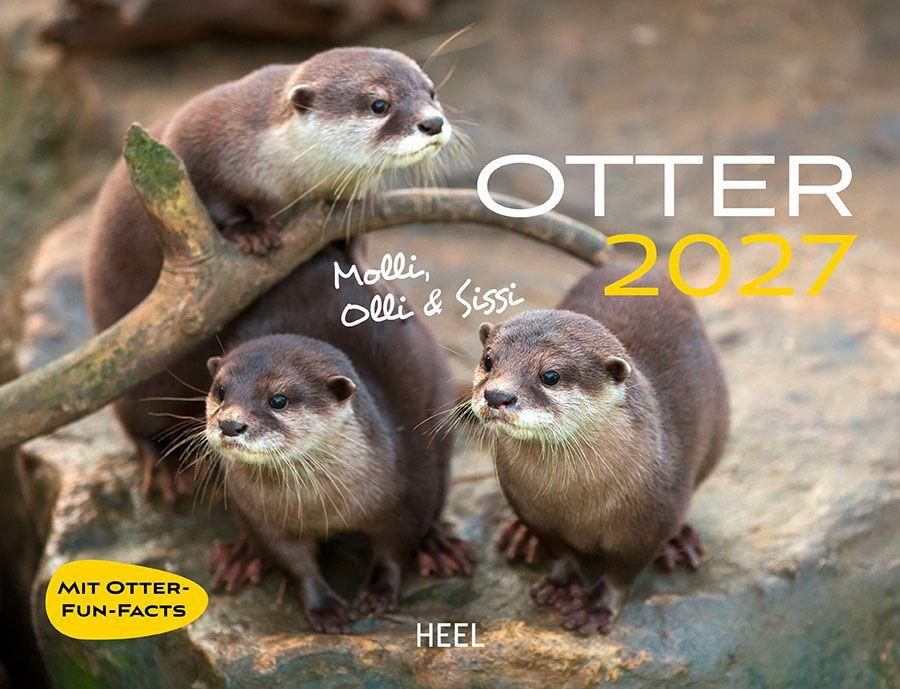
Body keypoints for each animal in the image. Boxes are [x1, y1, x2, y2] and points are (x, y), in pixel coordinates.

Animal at [84, 47, 452, 501]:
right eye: (378, 104)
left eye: (431, 91)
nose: (433, 122)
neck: (282, 174)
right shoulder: (196, 141)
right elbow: (218, 202)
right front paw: (251, 231)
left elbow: (352, 239)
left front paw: (369, 273)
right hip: (137, 383)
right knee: (141, 427)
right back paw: (168, 470)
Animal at [470, 260, 729, 635]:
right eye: (489, 361)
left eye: (550, 376)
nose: (497, 395)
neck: (576, 500)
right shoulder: (532, 510)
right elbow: (561, 551)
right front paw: (560, 583)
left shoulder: (650, 522)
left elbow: (622, 572)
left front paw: (596, 607)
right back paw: (520, 536)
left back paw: (681, 541)